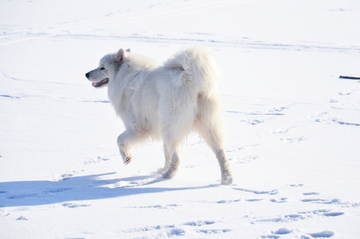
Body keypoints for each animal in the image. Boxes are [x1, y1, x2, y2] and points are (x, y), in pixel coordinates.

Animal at [86, 47, 233, 185]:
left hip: (172, 126)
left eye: (102, 67)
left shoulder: (136, 128)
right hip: (206, 126)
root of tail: (190, 78)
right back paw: (226, 179)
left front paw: (126, 158)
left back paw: (168, 175)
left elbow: (119, 140)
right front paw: (162, 168)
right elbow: (166, 152)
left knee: (177, 156)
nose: (86, 74)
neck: (126, 76)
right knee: (221, 153)